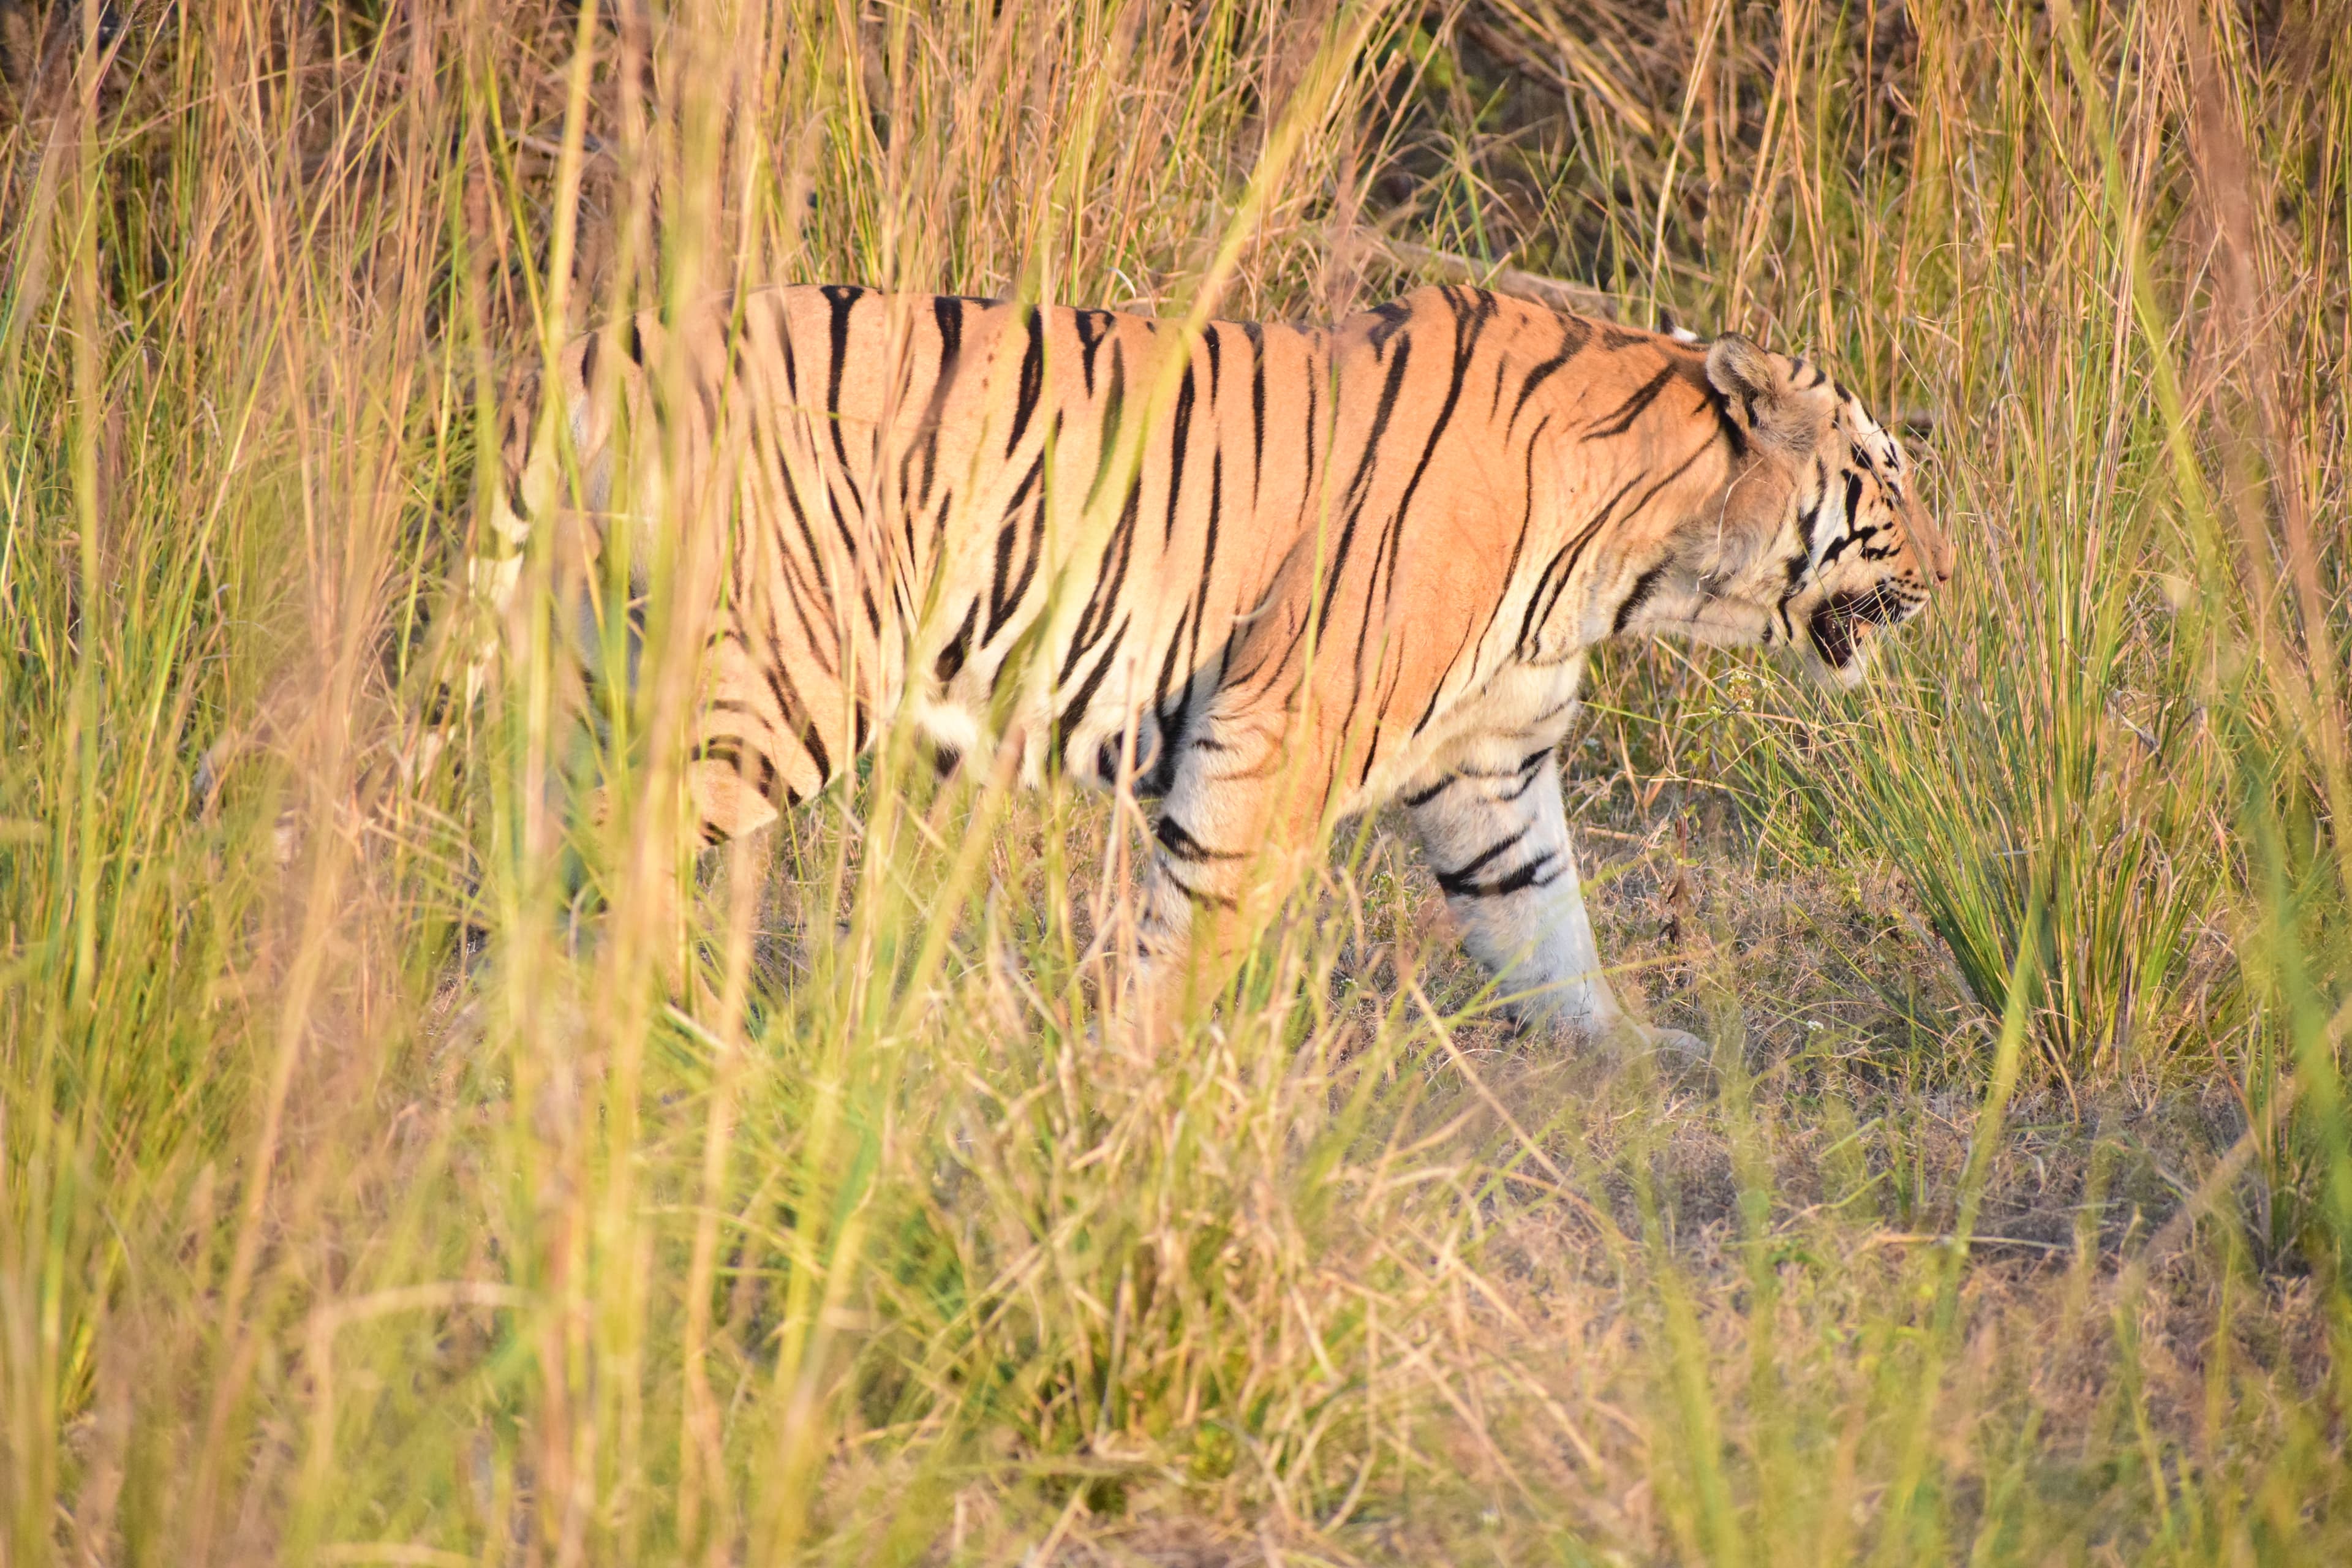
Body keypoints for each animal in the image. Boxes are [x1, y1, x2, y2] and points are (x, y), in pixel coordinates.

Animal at [461, 281, 1952, 1043]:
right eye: (1883, 473)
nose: (1946, 579)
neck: (1643, 560)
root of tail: (600, 348)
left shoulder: (1492, 766)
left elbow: (1546, 928)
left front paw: (1631, 1062)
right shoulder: (1282, 724)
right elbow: (1196, 922)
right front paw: (1128, 1081)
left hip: (598, 662)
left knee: (541, 849)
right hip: (778, 677)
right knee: (622, 847)